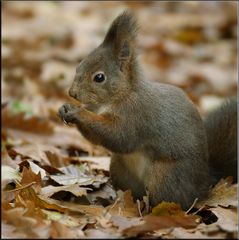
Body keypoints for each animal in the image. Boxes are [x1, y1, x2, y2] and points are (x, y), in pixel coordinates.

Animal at [58, 11, 237, 210]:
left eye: (99, 77)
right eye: (78, 66)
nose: (72, 93)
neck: (121, 95)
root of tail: (203, 184)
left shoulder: (137, 114)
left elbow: (118, 135)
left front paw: (78, 113)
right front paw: (65, 108)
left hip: (164, 177)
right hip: (120, 169)